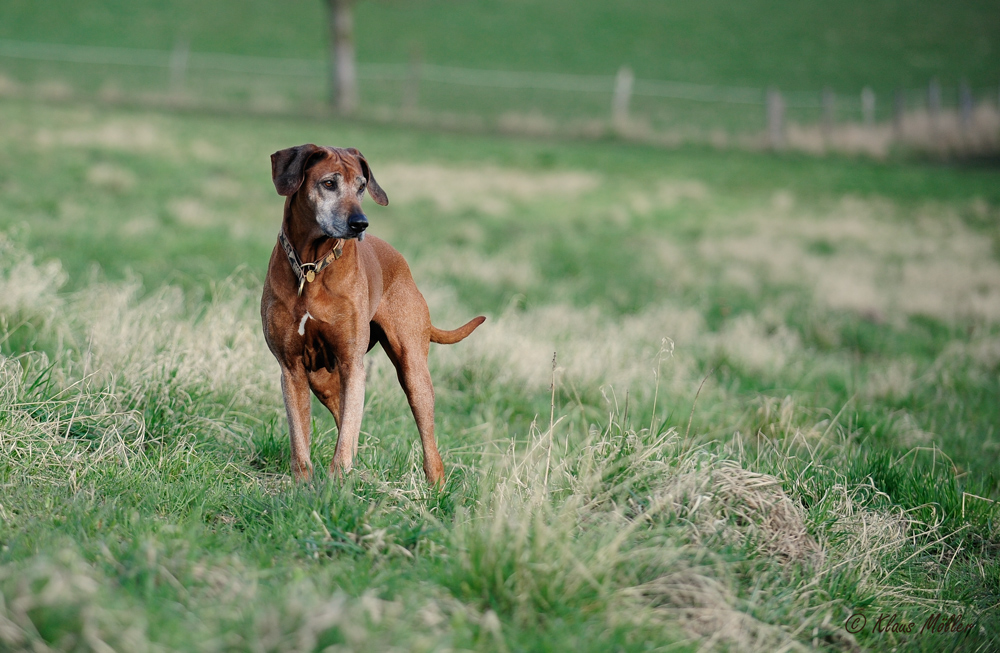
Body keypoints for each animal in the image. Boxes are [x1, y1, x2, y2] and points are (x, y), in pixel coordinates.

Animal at [262, 148, 484, 484]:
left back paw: (436, 485)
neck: (312, 266)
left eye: (362, 186)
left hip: (413, 372)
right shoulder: (291, 369)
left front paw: (337, 481)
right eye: (329, 183)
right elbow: (300, 439)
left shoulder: (352, 364)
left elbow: (346, 435)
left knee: (427, 441)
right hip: (322, 379)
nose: (360, 223)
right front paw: (303, 484)